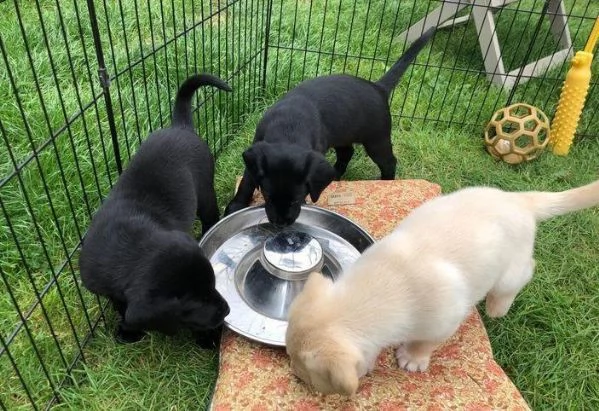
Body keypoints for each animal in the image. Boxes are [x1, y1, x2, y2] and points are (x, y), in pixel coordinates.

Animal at [81, 73, 234, 348]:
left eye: (213, 284)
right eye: (194, 304)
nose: (226, 310)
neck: (127, 248)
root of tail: (180, 127)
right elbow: (120, 304)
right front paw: (128, 331)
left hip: (205, 191)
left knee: (210, 217)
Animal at [225, 27, 436, 227]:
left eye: (297, 199)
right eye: (267, 196)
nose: (280, 223)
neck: (289, 128)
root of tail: (378, 87)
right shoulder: (256, 152)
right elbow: (247, 181)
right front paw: (235, 206)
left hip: (377, 140)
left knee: (389, 161)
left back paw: (386, 182)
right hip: (345, 135)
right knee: (347, 153)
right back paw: (336, 175)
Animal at [284, 179, 599, 396]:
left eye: (306, 370)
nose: (295, 376)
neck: (384, 283)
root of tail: (520, 201)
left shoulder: (443, 321)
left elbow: (424, 342)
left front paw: (412, 358)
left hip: (511, 271)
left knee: (524, 272)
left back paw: (497, 307)